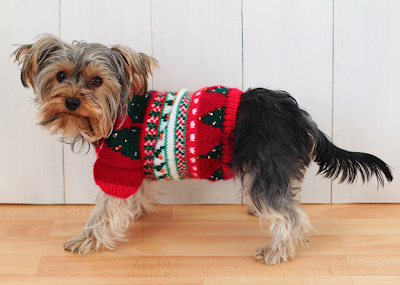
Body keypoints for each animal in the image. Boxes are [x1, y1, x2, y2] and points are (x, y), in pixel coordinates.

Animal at [12, 35, 394, 264]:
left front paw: (87, 241)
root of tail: (298, 116)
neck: (116, 112)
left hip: (267, 166)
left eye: (96, 81)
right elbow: (138, 193)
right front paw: (138, 212)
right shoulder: (134, 167)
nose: (72, 101)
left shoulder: (117, 165)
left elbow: (104, 210)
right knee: (292, 204)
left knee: (288, 215)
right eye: (60, 76)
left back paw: (277, 251)